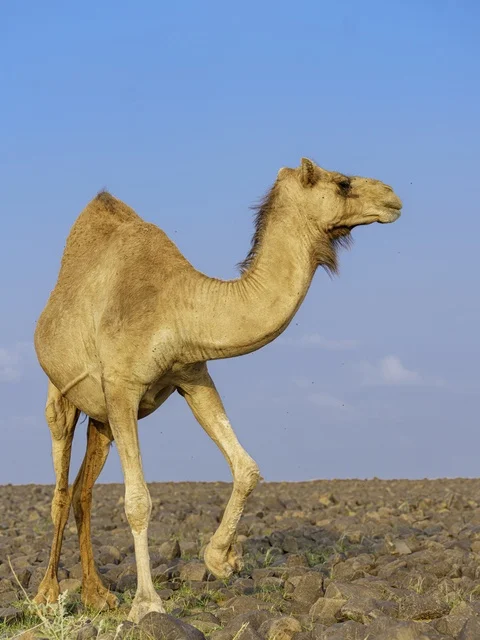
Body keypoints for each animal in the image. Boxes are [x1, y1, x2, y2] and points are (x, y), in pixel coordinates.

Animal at [33, 158, 402, 623]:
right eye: (343, 183)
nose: (393, 196)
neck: (180, 307)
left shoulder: (192, 376)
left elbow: (246, 467)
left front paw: (221, 560)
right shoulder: (121, 387)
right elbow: (138, 501)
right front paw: (147, 604)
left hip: (100, 419)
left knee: (84, 490)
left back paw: (97, 594)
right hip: (60, 394)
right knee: (61, 488)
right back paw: (47, 594)